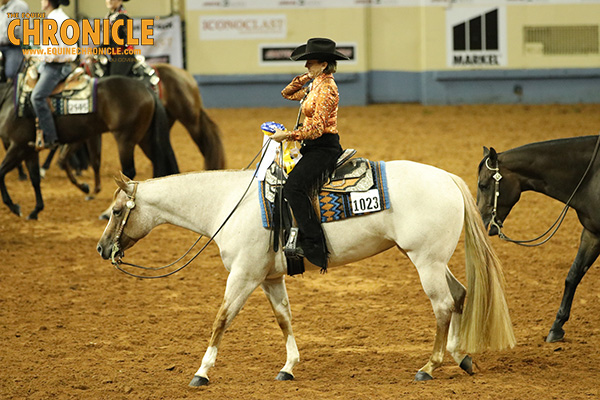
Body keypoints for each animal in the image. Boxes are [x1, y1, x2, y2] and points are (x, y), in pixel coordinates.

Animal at [0, 75, 178, 219]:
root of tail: (146, 89)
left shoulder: (18, 146)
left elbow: (1, 173)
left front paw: (15, 207)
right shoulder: (29, 150)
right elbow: (36, 178)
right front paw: (36, 210)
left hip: (125, 140)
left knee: (129, 173)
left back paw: (107, 213)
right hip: (145, 139)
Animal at [97, 161, 516, 386]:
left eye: (116, 211)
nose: (102, 249)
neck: (227, 204)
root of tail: (447, 178)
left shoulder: (243, 276)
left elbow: (221, 319)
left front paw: (201, 372)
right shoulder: (269, 278)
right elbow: (284, 318)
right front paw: (288, 367)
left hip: (426, 262)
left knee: (443, 306)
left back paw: (430, 366)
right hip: (435, 262)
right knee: (460, 296)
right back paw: (461, 357)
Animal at [478, 136, 600, 342]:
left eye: (483, 185)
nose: (479, 218)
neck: (591, 175)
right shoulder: (592, 233)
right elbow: (573, 275)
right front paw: (556, 327)